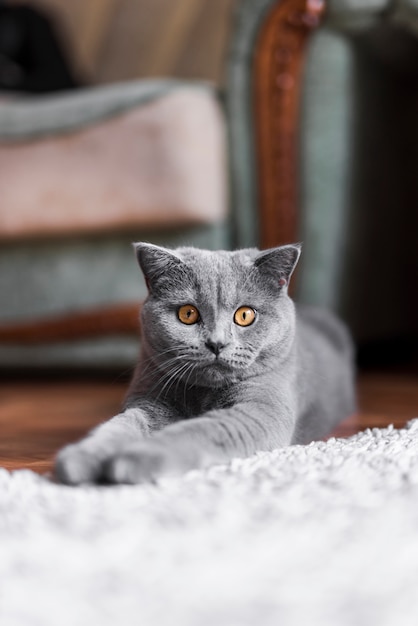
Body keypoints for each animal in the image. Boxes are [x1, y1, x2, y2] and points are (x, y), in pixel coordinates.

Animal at [54, 243, 356, 482]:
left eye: (245, 315)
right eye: (187, 314)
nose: (216, 343)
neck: (202, 395)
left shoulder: (261, 410)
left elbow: (197, 430)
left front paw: (135, 459)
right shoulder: (149, 401)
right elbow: (120, 426)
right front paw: (81, 456)